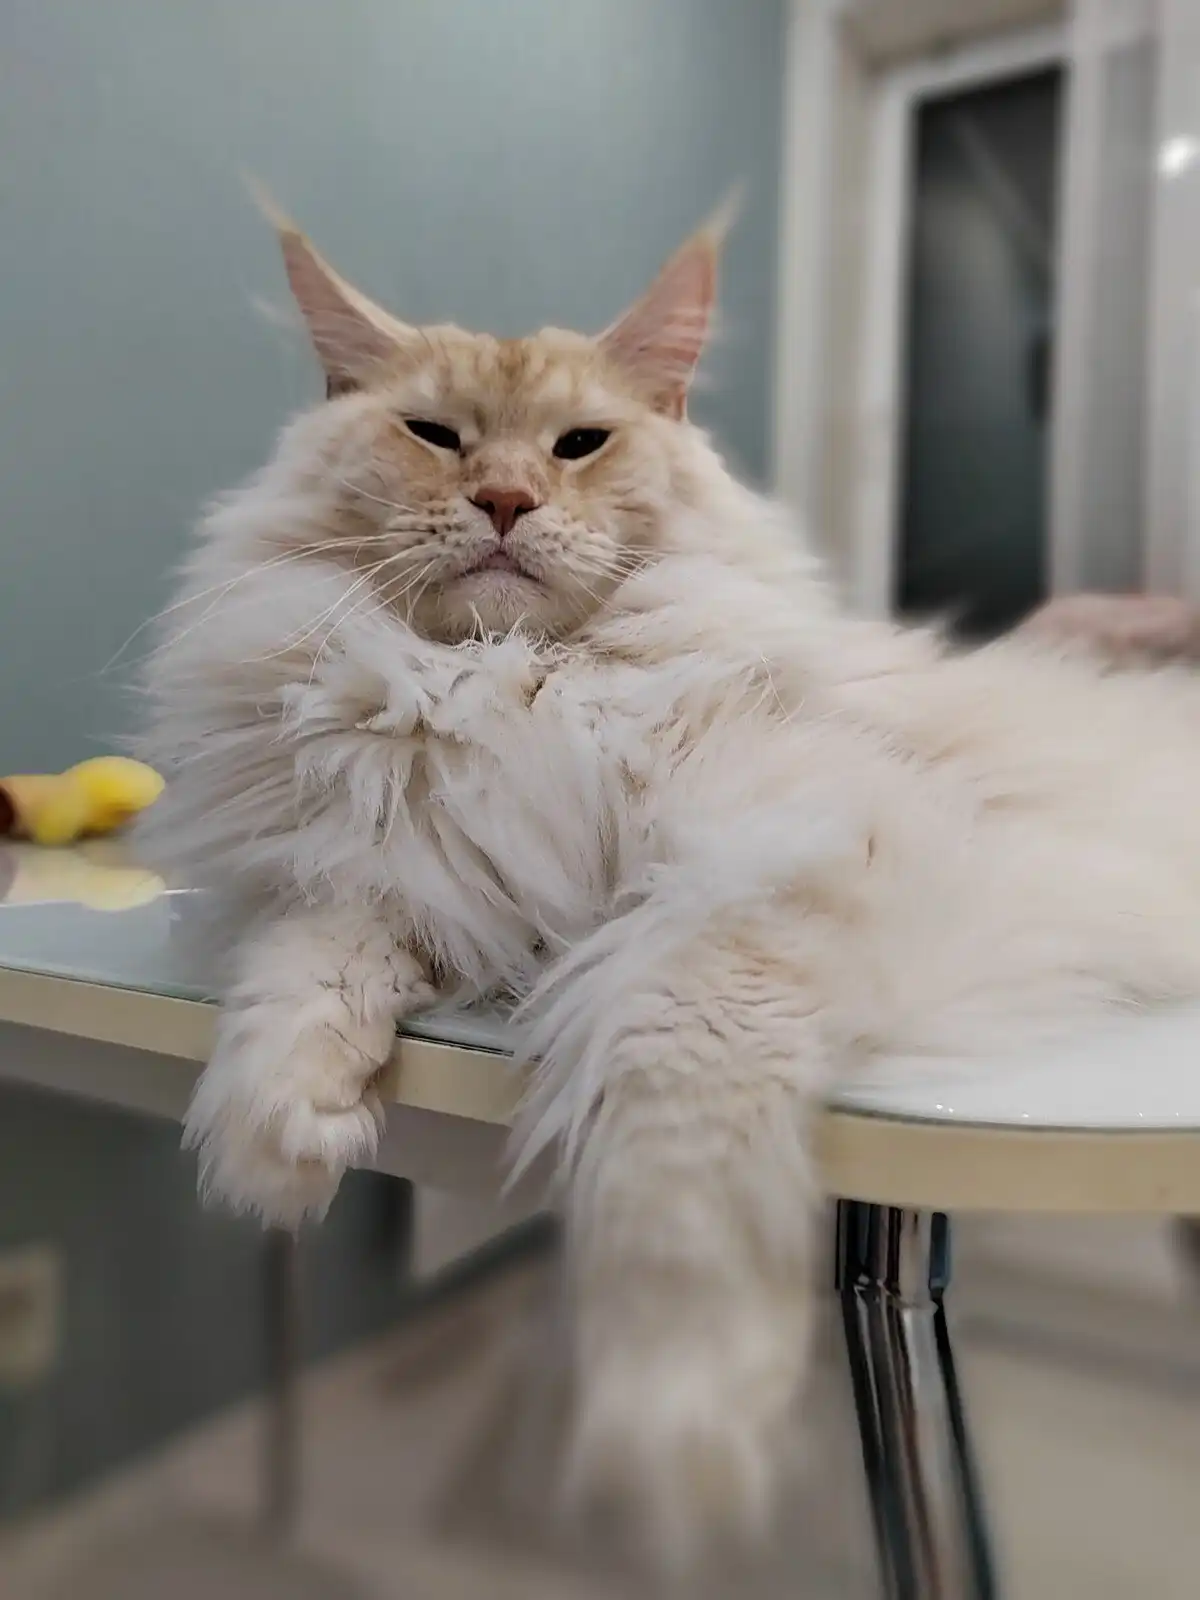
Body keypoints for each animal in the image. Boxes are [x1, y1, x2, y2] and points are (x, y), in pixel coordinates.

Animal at [142, 207, 1200, 1567]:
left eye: (579, 444)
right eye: (434, 434)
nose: (504, 499)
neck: (509, 686)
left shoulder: (784, 876)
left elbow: (674, 1143)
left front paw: (674, 1422)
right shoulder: (428, 874)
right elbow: (311, 956)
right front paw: (276, 1130)